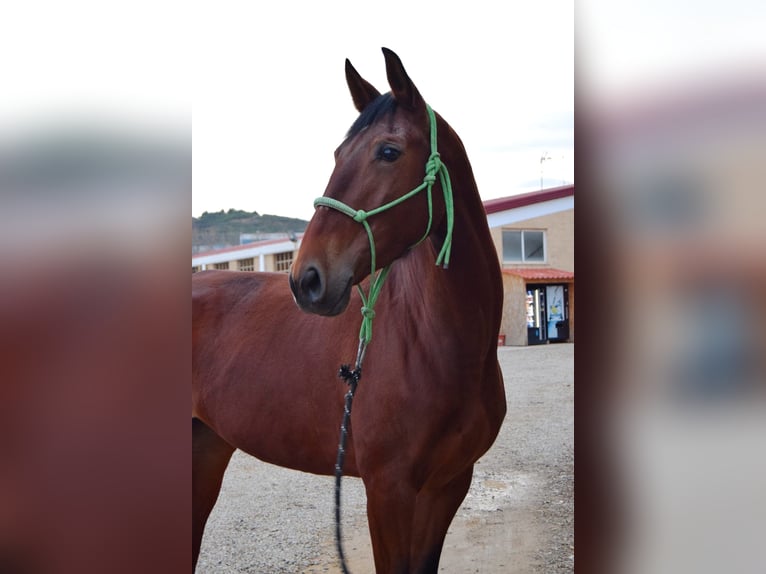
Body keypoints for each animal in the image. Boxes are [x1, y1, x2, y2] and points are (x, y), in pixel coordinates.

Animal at [192, 47, 506, 573]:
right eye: (338, 155)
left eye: (388, 152)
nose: (306, 279)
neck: (436, 345)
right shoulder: (388, 492)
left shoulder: (448, 487)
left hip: (206, 447)